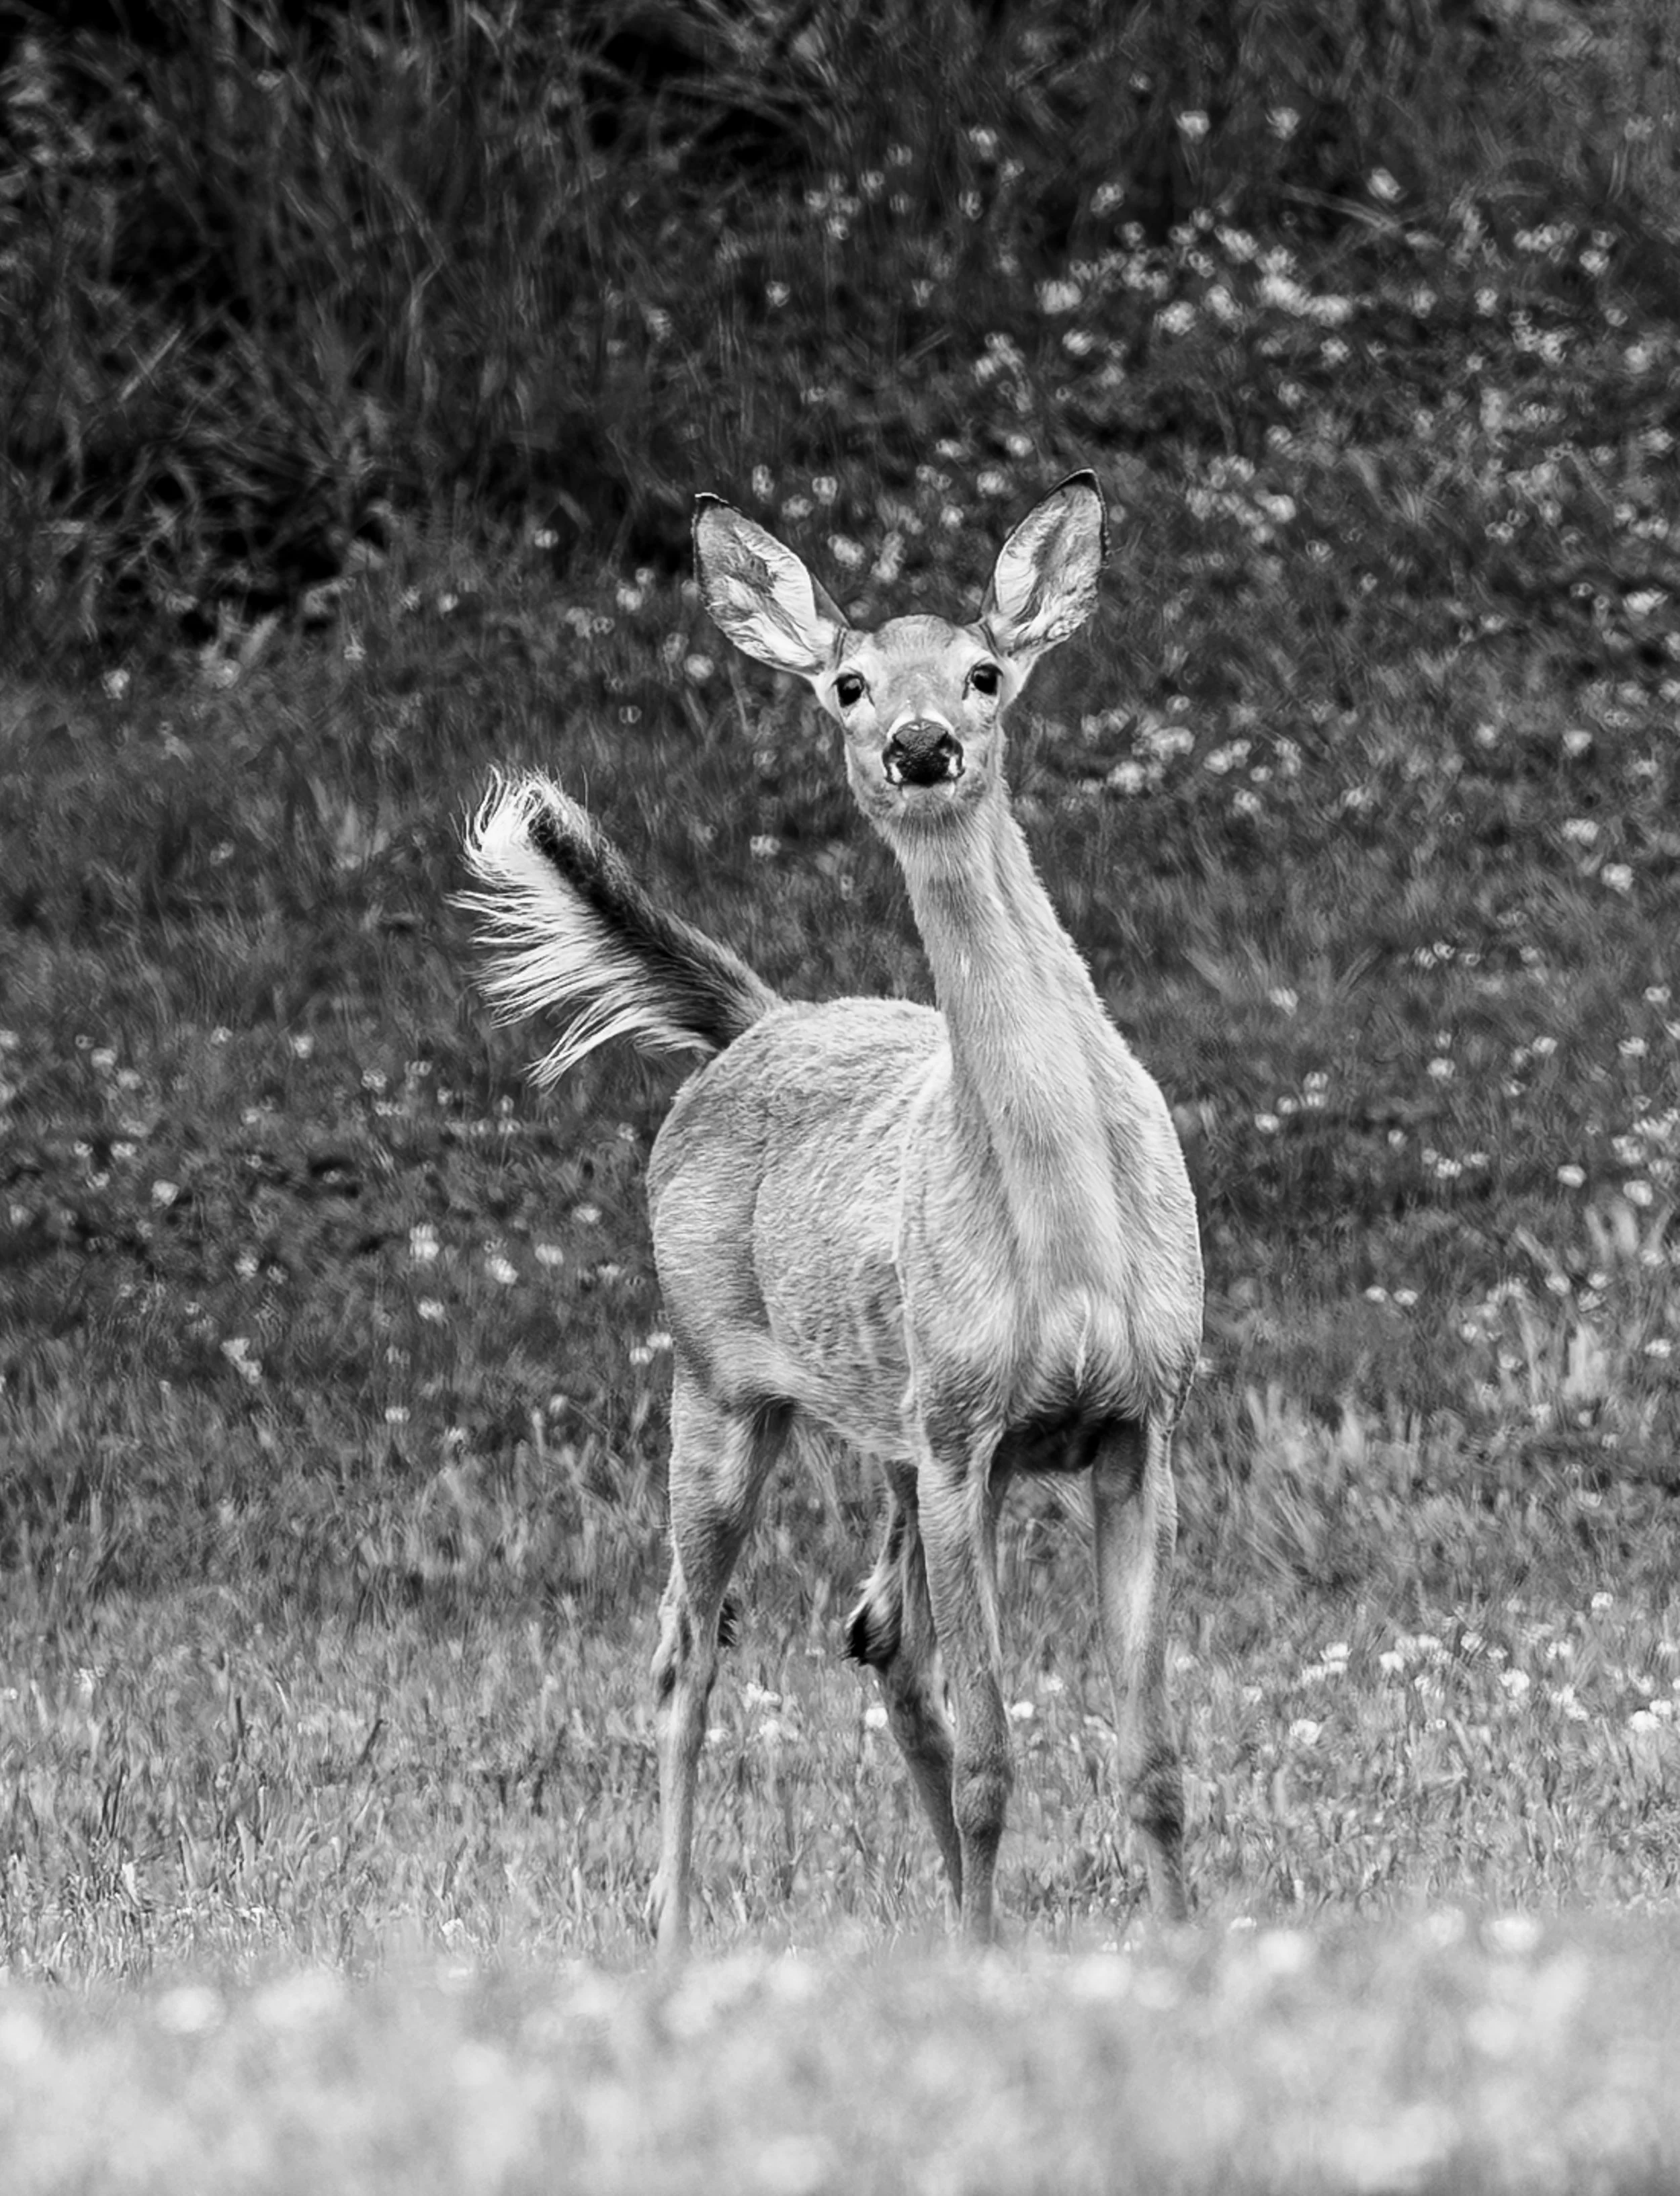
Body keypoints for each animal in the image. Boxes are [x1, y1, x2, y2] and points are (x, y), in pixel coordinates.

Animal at [462, 473, 1204, 1957]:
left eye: (985, 672)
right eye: (849, 685)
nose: (919, 744)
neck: (1073, 1237)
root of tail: (756, 1018)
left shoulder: (1137, 1415)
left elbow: (1149, 1760)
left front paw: (1178, 1949)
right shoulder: (969, 1434)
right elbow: (995, 1757)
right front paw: (984, 1951)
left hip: (890, 1429)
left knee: (880, 1641)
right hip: (717, 1377)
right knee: (686, 1653)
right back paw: (675, 1933)